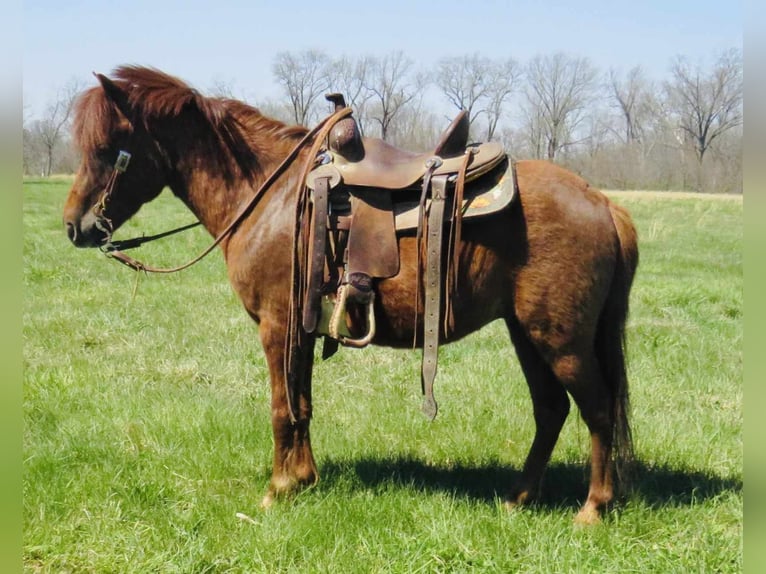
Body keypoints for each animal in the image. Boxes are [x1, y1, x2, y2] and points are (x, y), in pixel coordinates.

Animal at [64, 66, 640, 528]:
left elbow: (280, 406)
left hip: (560, 340)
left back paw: (593, 508)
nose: (75, 227)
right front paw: (304, 479)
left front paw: (277, 490)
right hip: (527, 333)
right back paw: (519, 497)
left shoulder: (277, 327)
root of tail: (602, 204)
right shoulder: (301, 326)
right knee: (551, 410)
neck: (271, 197)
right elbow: (302, 403)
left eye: (108, 151)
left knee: (597, 410)